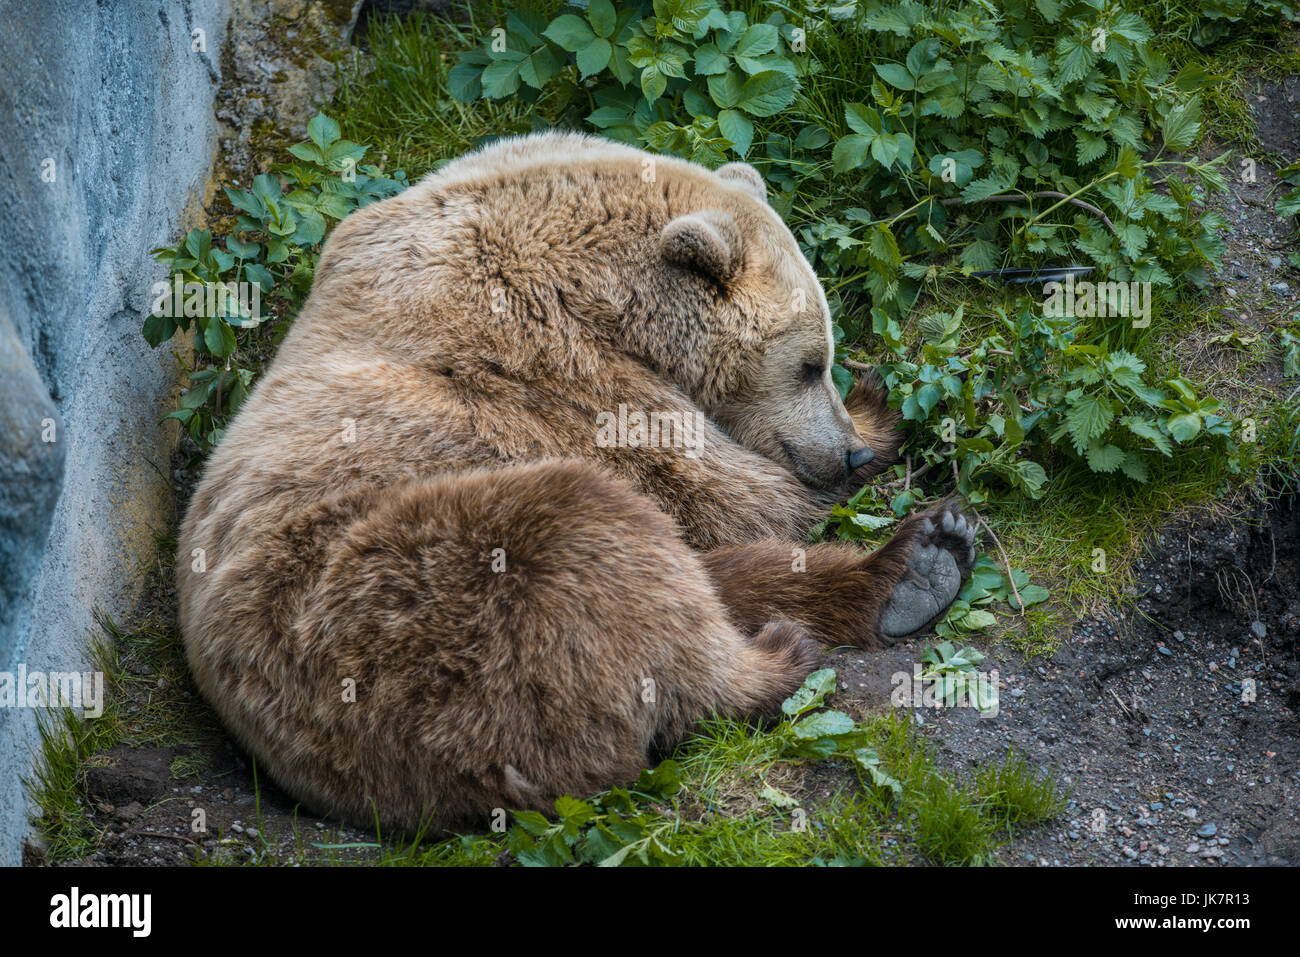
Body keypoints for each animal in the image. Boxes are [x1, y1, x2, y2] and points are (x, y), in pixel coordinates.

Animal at [175, 130, 977, 832]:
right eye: (809, 363)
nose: (844, 452)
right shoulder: (560, 370)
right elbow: (733, 497)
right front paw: (867, 439)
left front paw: (877, 406)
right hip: (415, 614)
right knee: (608, 558)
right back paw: (829, 622)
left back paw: (920, 564)